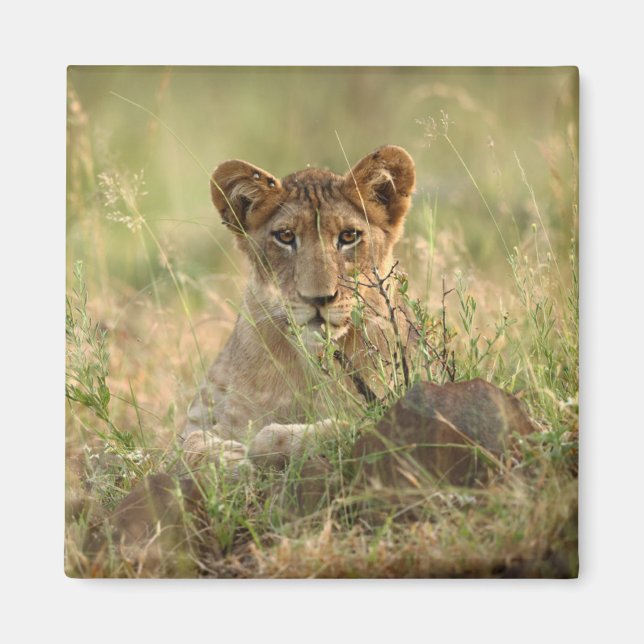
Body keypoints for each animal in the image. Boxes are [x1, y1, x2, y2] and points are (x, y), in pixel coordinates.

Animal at [181, 145, 416, 472]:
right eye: (286, 236)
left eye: (348, 236)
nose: (318, 299)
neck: (312, 363)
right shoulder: (219, 418)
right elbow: (188, 445)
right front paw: (228, 460)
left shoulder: (390, 404)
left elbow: (340, 427)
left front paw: (263, 446)